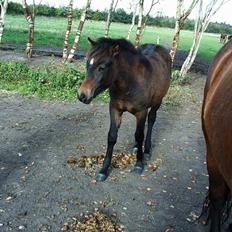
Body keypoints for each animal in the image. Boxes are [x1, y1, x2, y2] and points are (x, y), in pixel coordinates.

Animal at [78, 38, 170, 182]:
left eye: (102, 67)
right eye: (88, 64)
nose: (82, 95)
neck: (130, 83)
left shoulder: (141, 112)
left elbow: (139, 135)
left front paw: (139, 164)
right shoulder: (114, 109)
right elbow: (112, 136)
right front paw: (104, 170)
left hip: (157, 102)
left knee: (151, 121)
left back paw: (146, 150)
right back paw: (136, 147)